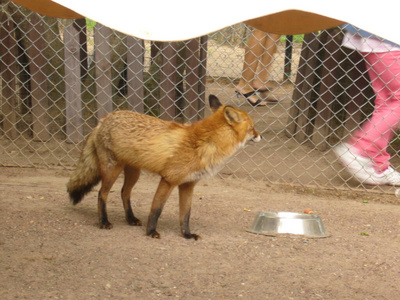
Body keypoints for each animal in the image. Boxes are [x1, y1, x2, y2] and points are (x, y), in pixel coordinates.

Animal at [68, 95, 262, 240]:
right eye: (253, 128)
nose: (261, 136)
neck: (205, 144)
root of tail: (104, 119)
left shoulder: (188, 185)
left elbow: (185, 214)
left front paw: (187, 235)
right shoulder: (168, 180)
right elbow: (157, 209)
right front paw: (151, 231)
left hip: (134, 173)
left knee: (124, 193)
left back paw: (131, 219)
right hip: (112, 170)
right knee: (102, 194)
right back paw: (103, 221)